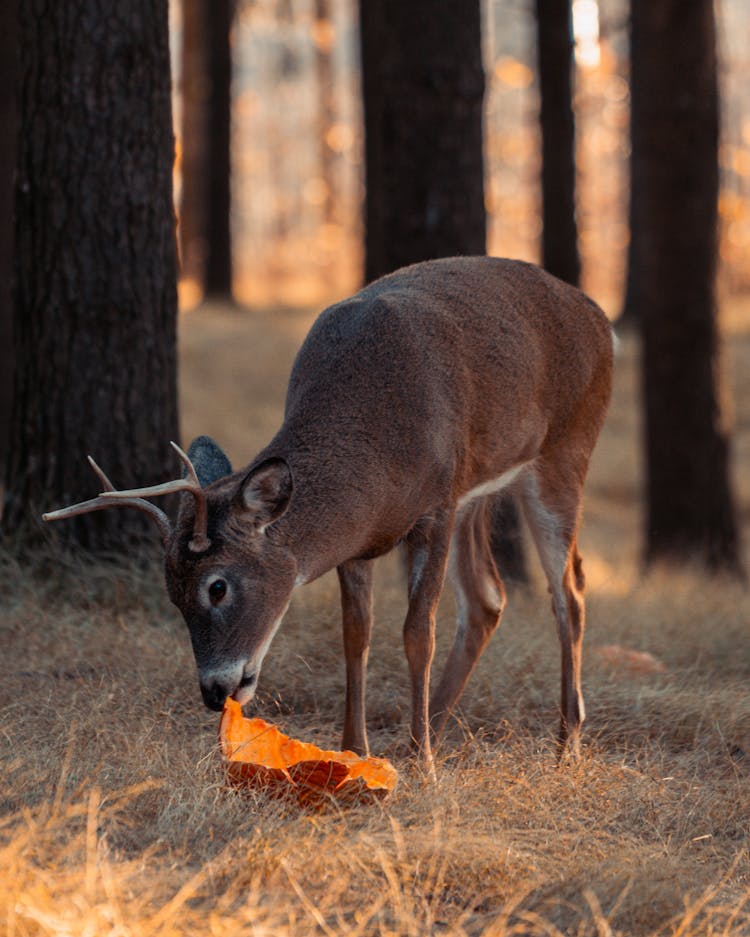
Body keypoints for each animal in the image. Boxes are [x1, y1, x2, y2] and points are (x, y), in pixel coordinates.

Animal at [44, 258, 612, 768]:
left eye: (217, 586)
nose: (213, 691)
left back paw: (563, 745)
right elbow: (355, 634)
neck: (376, 449)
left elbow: (416, 633)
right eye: (171, 593)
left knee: (570, 589)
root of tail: (597, 315)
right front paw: (355, 751)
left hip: (567, 446)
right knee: (488, 596)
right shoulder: (362, 540)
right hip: (481, 488)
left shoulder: (436, 507)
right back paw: (432, 725)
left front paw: (424, 768)